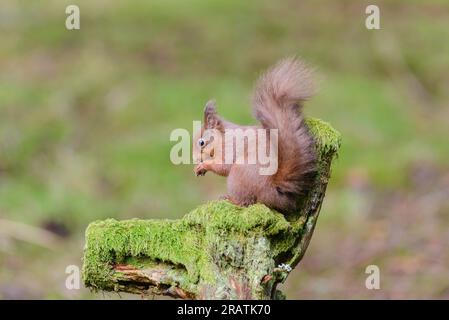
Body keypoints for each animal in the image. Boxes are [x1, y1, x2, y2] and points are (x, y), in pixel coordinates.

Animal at [192, 57, 316, 215]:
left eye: (202, 142)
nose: (195, 159)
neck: (223, 137)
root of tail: (271, 190)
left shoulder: (231, 147)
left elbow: (223, 166)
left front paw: (203, 166)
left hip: (239, 173)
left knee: (246, 202)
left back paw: (230, 199)